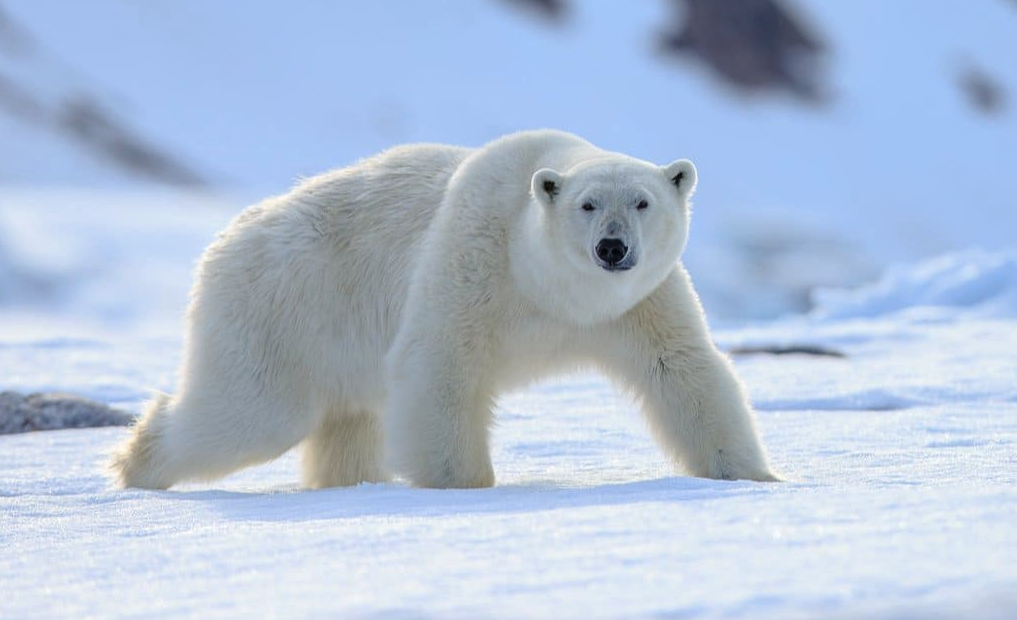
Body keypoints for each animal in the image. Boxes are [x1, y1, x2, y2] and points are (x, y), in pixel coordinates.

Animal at [111, 130, 776, 487]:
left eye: (642, 201)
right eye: (587, 205)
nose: (612, 248)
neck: (550, 290)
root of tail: (225, 239)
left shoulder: (638, 303)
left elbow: (682, 369)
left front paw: (752, 476)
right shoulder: (474, 257)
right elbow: (441, 366)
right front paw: (464, 485)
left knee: (346, 423)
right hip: (282, 309)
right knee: (249, 412)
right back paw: (136, 464)